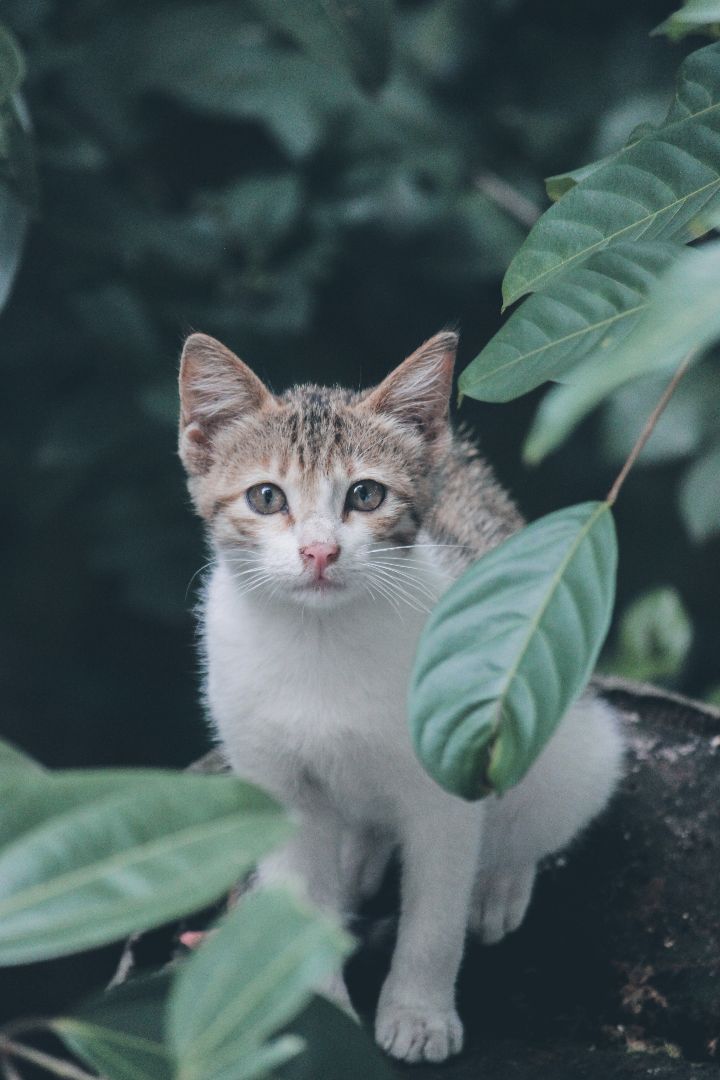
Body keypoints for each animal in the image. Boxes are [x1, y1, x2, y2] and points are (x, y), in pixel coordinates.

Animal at [177, 330, 621, 1062]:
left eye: (365, 494)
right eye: (266, 497)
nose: (320, 553)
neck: (321, 640)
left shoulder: (448, 781)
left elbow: (434, 914)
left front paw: (419, 1012)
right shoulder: (273, 780)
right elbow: (298, 896)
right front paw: (323, 1014)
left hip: (575, 736)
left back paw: (498, 882)